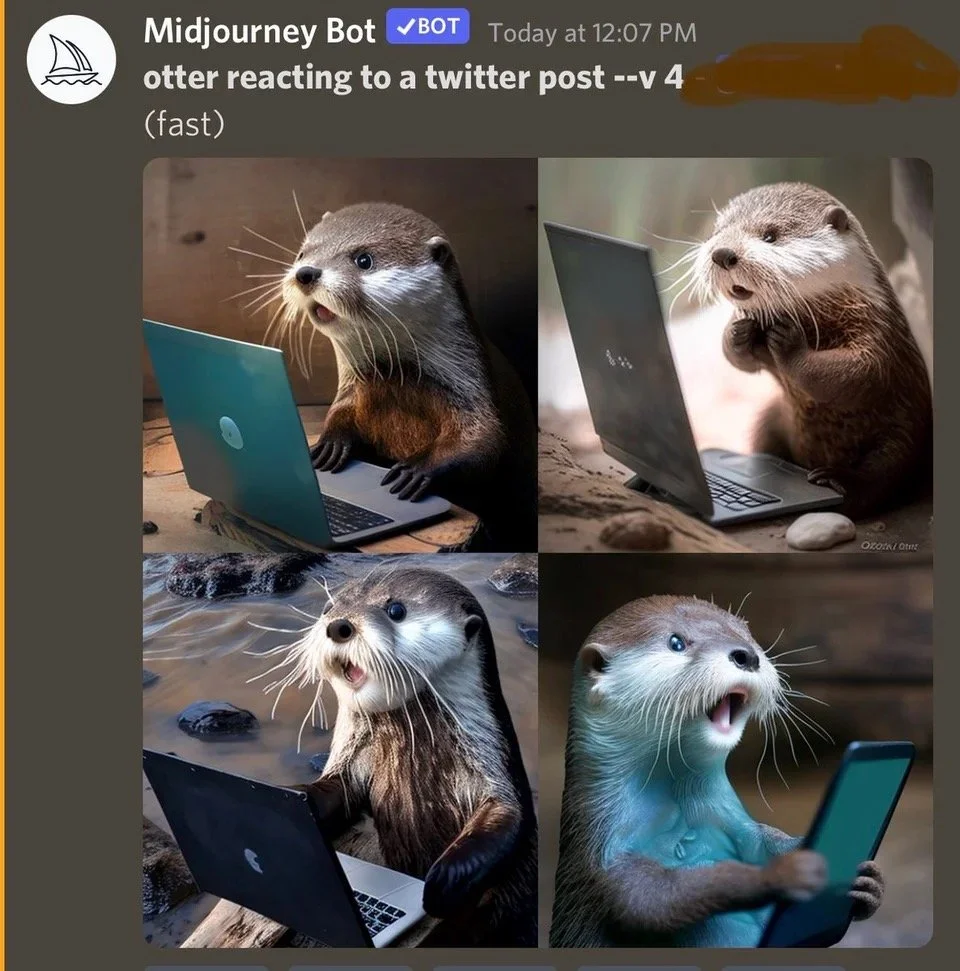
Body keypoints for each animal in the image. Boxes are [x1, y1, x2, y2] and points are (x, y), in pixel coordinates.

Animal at [274, 565, 537, 946]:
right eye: (328, 607)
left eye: (396, 610)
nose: (338, 625)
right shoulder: (352, 763)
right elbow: (333, 790)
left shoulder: (491, 761)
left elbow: (507, 815)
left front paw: (440, 882)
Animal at [279, 202, 537, 550]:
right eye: (302, 253)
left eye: (364, 260)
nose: (305, 273)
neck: (399, 379)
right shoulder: (353, 389)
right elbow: (341, 411)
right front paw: (328, 444)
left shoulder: (469, 385)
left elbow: (483, 438)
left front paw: (415, 469)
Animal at [550, 595, 884, 948]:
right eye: (676, 642)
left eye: (748, 636)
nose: (747, 655)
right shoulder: (606, 850)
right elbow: (654, 899)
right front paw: (780, 874)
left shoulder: (731, 818)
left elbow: (765, 839)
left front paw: (868, 882)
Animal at [693, 182, 931, 518]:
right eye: (717, 231)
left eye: (770, 235)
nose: (722, 253)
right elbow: (738, 358)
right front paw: (738, 331)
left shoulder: (877, 332)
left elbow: (858, 372)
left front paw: (789, 343)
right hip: (772, 419)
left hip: (904, 431)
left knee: (882, 477)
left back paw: (836, 480)